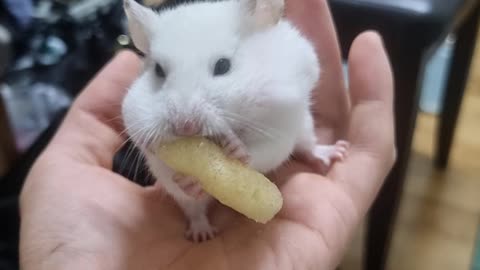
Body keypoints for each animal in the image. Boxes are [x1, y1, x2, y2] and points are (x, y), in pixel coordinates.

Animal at [122, 0, 346, 243]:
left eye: (223, 65)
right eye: (158, 70)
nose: (185, 126)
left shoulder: (279, 130)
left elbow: (264, 152)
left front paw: (237, 149)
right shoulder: (145, 137)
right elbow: (170, 174)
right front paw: (189, 182)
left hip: (305, 125)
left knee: (308, 146)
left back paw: (336, 152)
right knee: (194, 210)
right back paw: (202, 234)